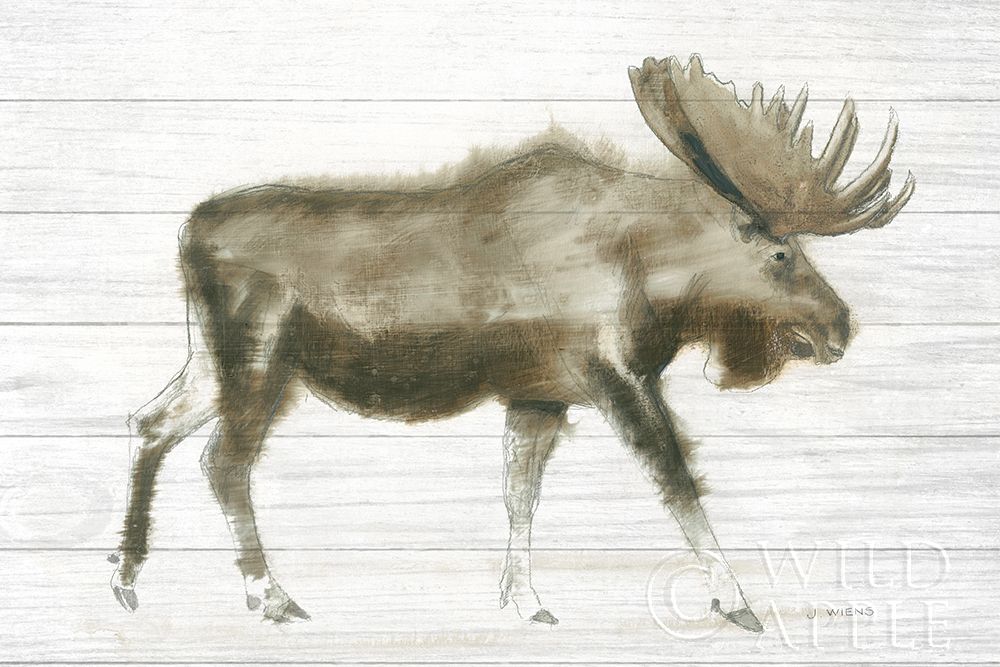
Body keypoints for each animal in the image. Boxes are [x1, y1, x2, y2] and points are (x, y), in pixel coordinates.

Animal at [110, 54, 914, 632]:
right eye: (781, 255)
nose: (840, 325)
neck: (656, 275)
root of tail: (189, 232)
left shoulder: (539, 395)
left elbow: (519, 496)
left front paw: (526, 600)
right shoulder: (612, 375)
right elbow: (677, 481)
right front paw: (736, 599)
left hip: (212, 360)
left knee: (149, 421)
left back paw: (125, 575)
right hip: (261, 357)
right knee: (223, 462)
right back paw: (269, 596)